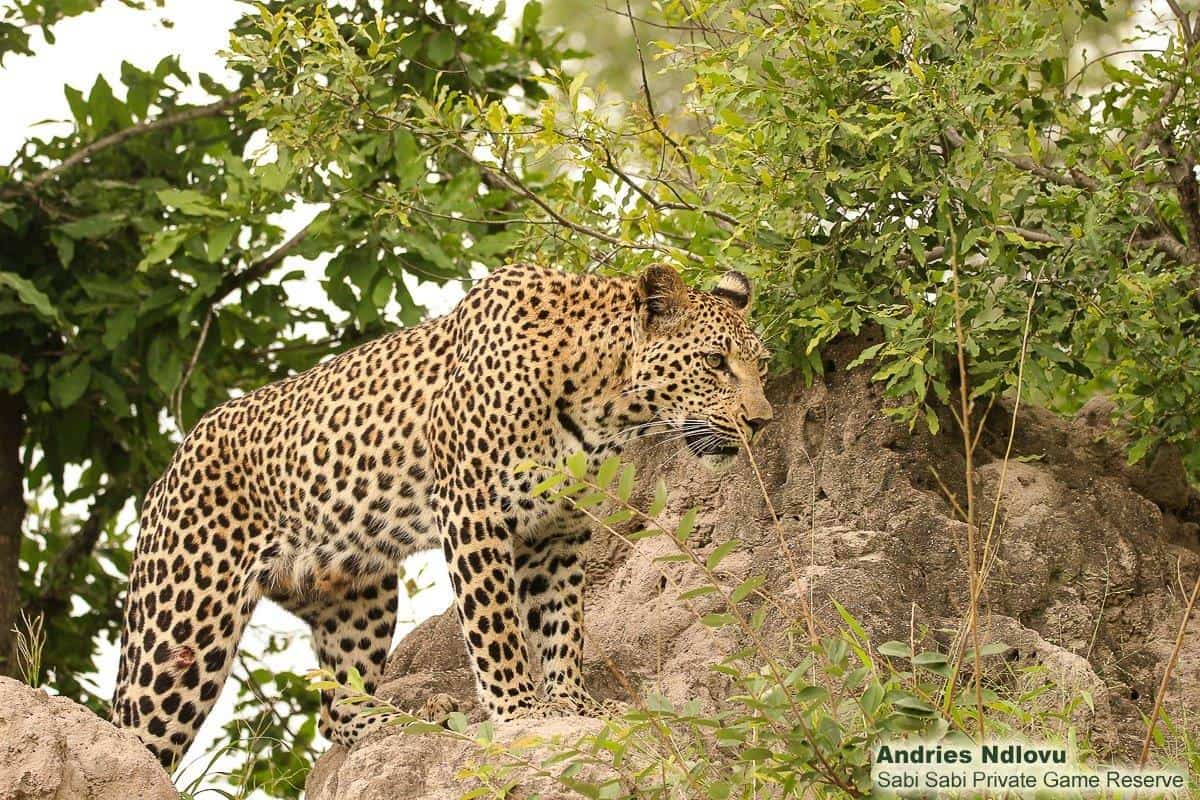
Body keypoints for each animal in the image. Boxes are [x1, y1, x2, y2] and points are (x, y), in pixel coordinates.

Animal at [109, 262, 773, 768]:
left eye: (760, 365)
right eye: (715, 363)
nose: (761, 420)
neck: (603, 400)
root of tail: (167, 470)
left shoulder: (557, 529)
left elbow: (562, 622)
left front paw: (572, 705)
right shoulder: (473, 509)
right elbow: (497, 624)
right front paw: (520, 710)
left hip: (356, 595)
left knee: (337, 709)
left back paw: (396, 728)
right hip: (181, 629)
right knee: (134, 734)